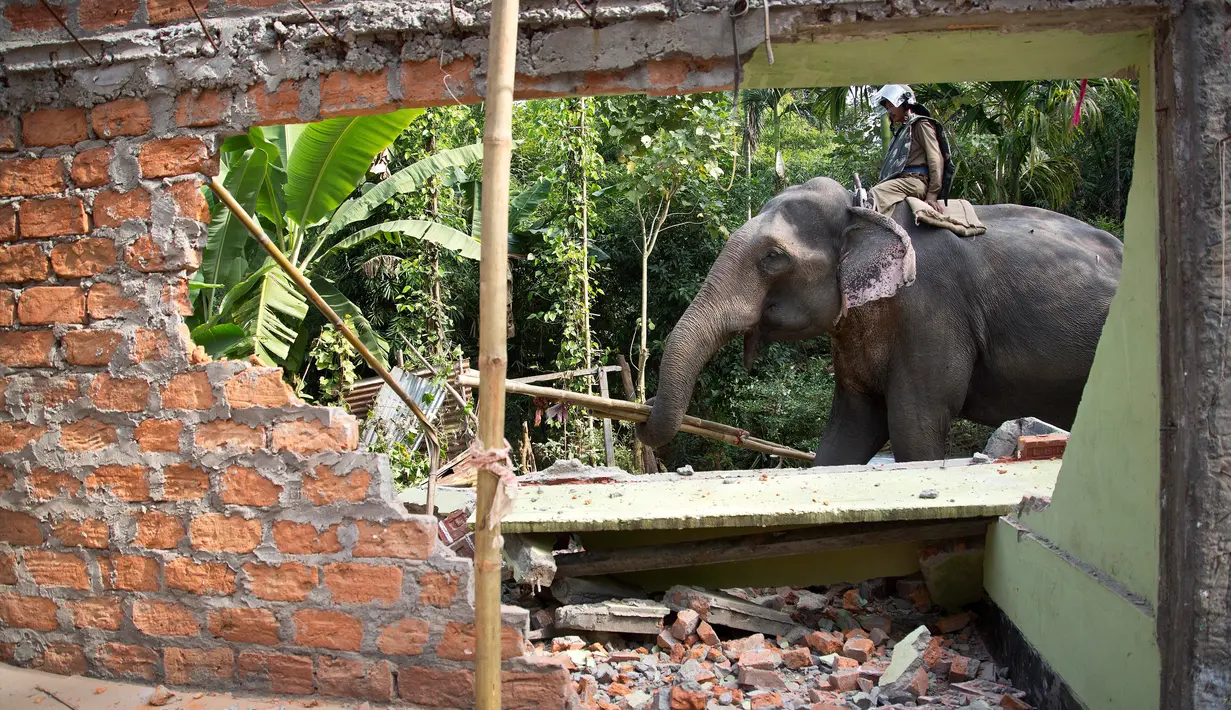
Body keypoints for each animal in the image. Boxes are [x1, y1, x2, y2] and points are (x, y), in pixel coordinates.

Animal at [635, 177, 1127, 465]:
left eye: (773, 257)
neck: (866, 210)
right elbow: (849, 431)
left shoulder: (930, 313)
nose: (642, 409)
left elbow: (914, 428)